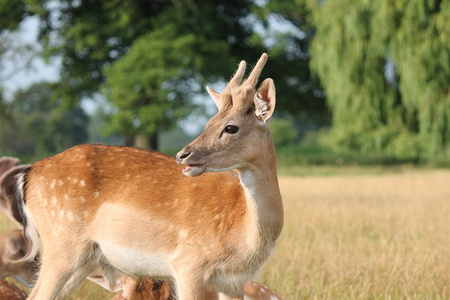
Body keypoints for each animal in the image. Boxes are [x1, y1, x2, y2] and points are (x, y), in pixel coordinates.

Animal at [18, 52, 284, 298]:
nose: (183, 154)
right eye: (208, 123)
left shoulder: (235, 282)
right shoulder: (189, 264)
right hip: (61, 242)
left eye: (230, 127)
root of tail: (29, 174)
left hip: (85, 258)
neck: (245, 237)